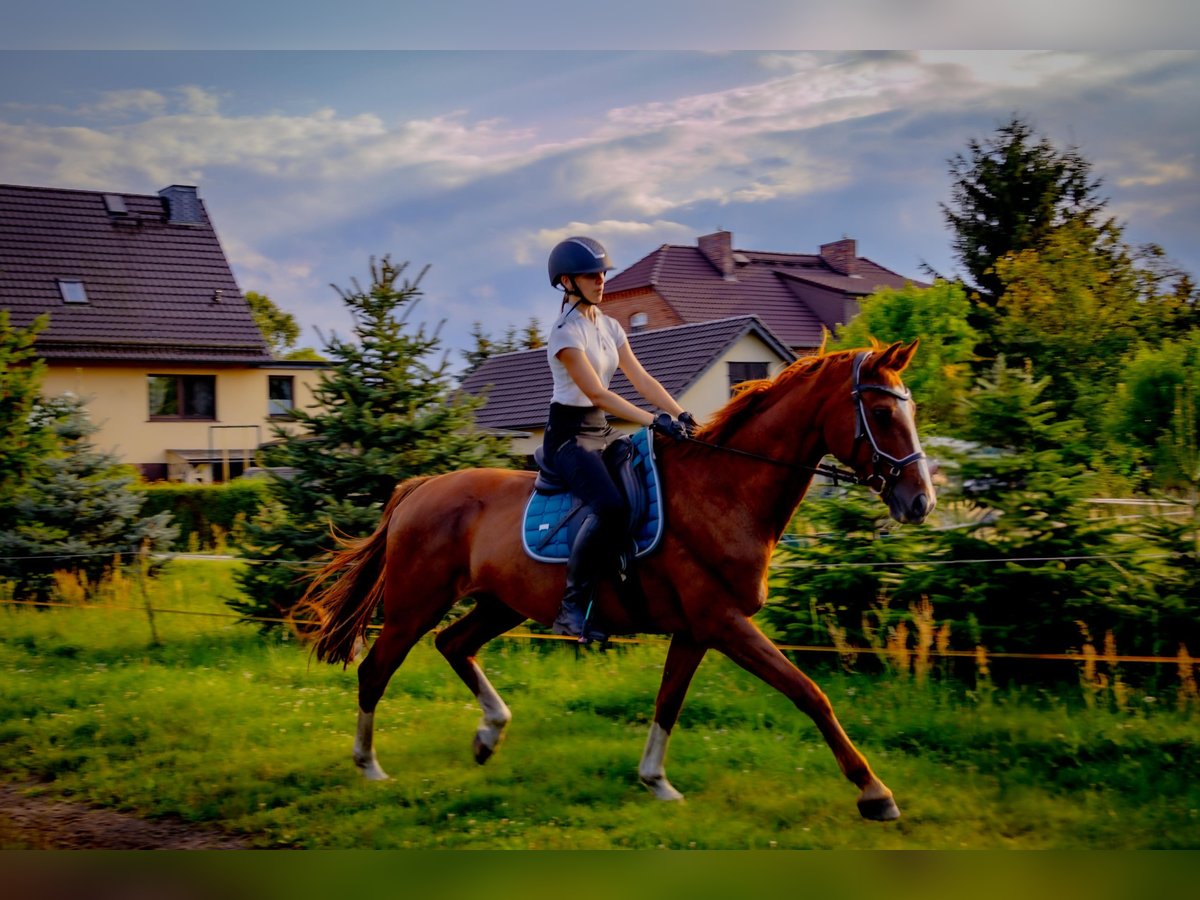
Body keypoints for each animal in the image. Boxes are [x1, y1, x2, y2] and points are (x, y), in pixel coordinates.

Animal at [295, 340, 931, 820]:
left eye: (911, 410)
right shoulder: (723, 622)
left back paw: (488, 734)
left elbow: (669, 702)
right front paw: (875, 793)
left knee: (453, 644)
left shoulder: (696, 631)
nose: (920, 501)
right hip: (415, 602)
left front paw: (655, 781)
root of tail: (419, 487)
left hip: (502, 604)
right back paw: (370, 766)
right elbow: (809, 693)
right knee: (378, 669)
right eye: (880, 415)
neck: (724, 490)